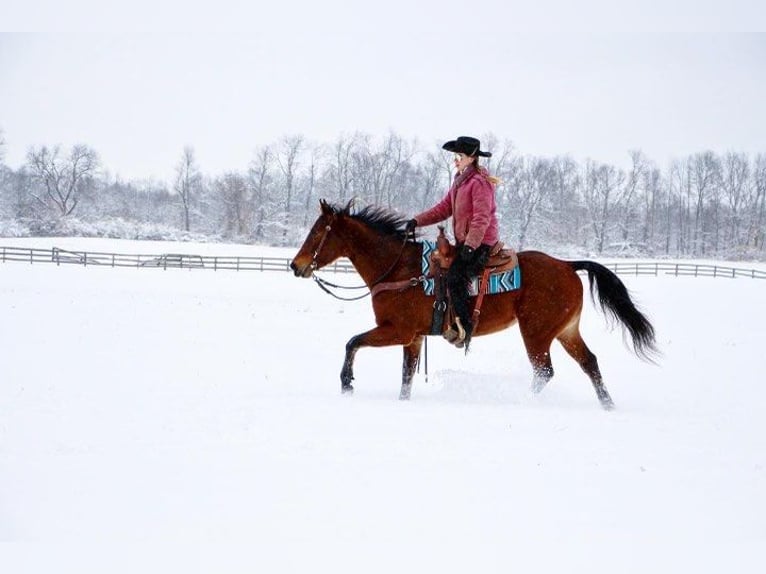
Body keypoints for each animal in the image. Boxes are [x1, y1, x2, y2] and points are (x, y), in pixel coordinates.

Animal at [292, 200, 656, 412]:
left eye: (318, 233)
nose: (296, 265)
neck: (400, 270)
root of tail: (568, 264)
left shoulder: (397, 330)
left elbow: (352, 342)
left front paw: (347, 383)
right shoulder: (414, 338)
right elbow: (406, 376)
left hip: (536, 333)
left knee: (544, 372)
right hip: (566, 331)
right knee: (589, 363)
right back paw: (608, 405)